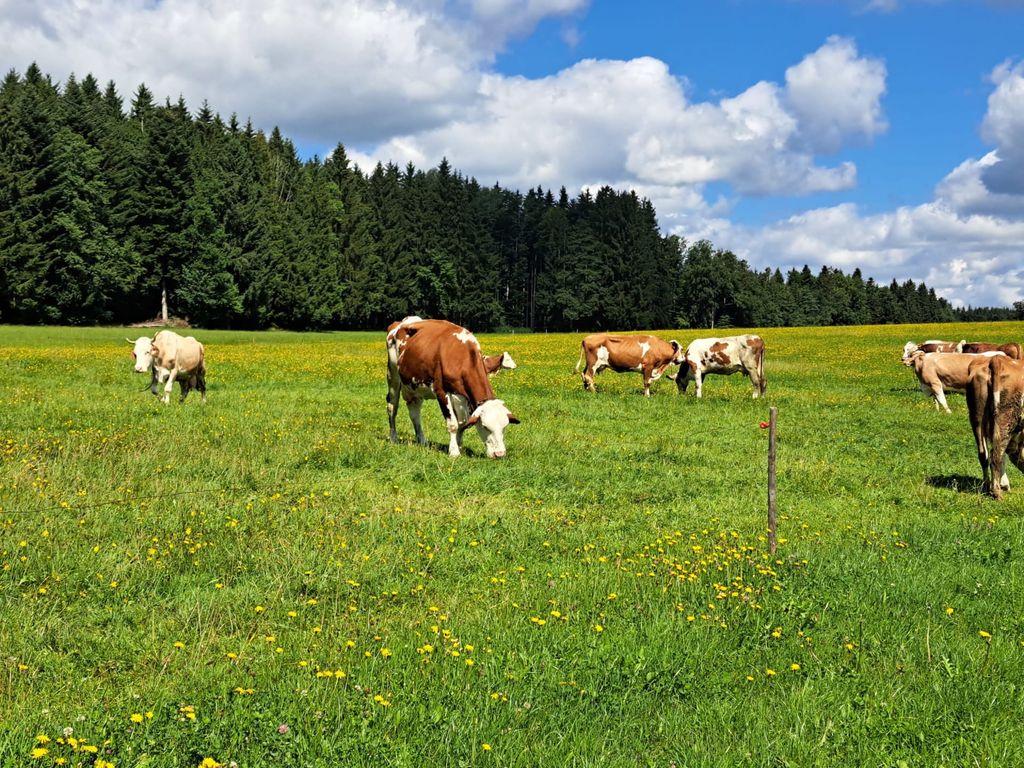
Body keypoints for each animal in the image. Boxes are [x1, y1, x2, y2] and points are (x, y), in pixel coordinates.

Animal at [386, 318, 519, 459]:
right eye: (485, 426)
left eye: (504, 427)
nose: (499, 454)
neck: (461, 359)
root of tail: (402, 322)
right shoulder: (442, 392)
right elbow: (453, 424)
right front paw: (454, 451)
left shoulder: (462, 396)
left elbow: (463, 423)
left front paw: (459, 445)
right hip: (393, 375)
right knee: (392, 406)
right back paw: (394, 437)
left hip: (415, 387)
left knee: (415, 414)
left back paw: (422, 440)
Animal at [966, 355, 1024, 499]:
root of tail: (996, 359)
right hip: (1006, 416)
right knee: (996, 454)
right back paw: (996, 492)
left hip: (977, 417)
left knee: (984, 454)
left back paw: (987, 487)